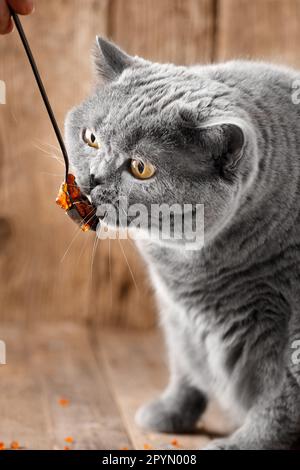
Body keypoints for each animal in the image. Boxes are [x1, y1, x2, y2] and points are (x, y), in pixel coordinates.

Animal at [64, 38, 300, 450]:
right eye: (90, 138)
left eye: (141, 168)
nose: (92, 178)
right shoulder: (177, 316)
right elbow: (185, 367)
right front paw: (168, 414)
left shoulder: (288, 323)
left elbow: (279, 396)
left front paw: (243, 443)